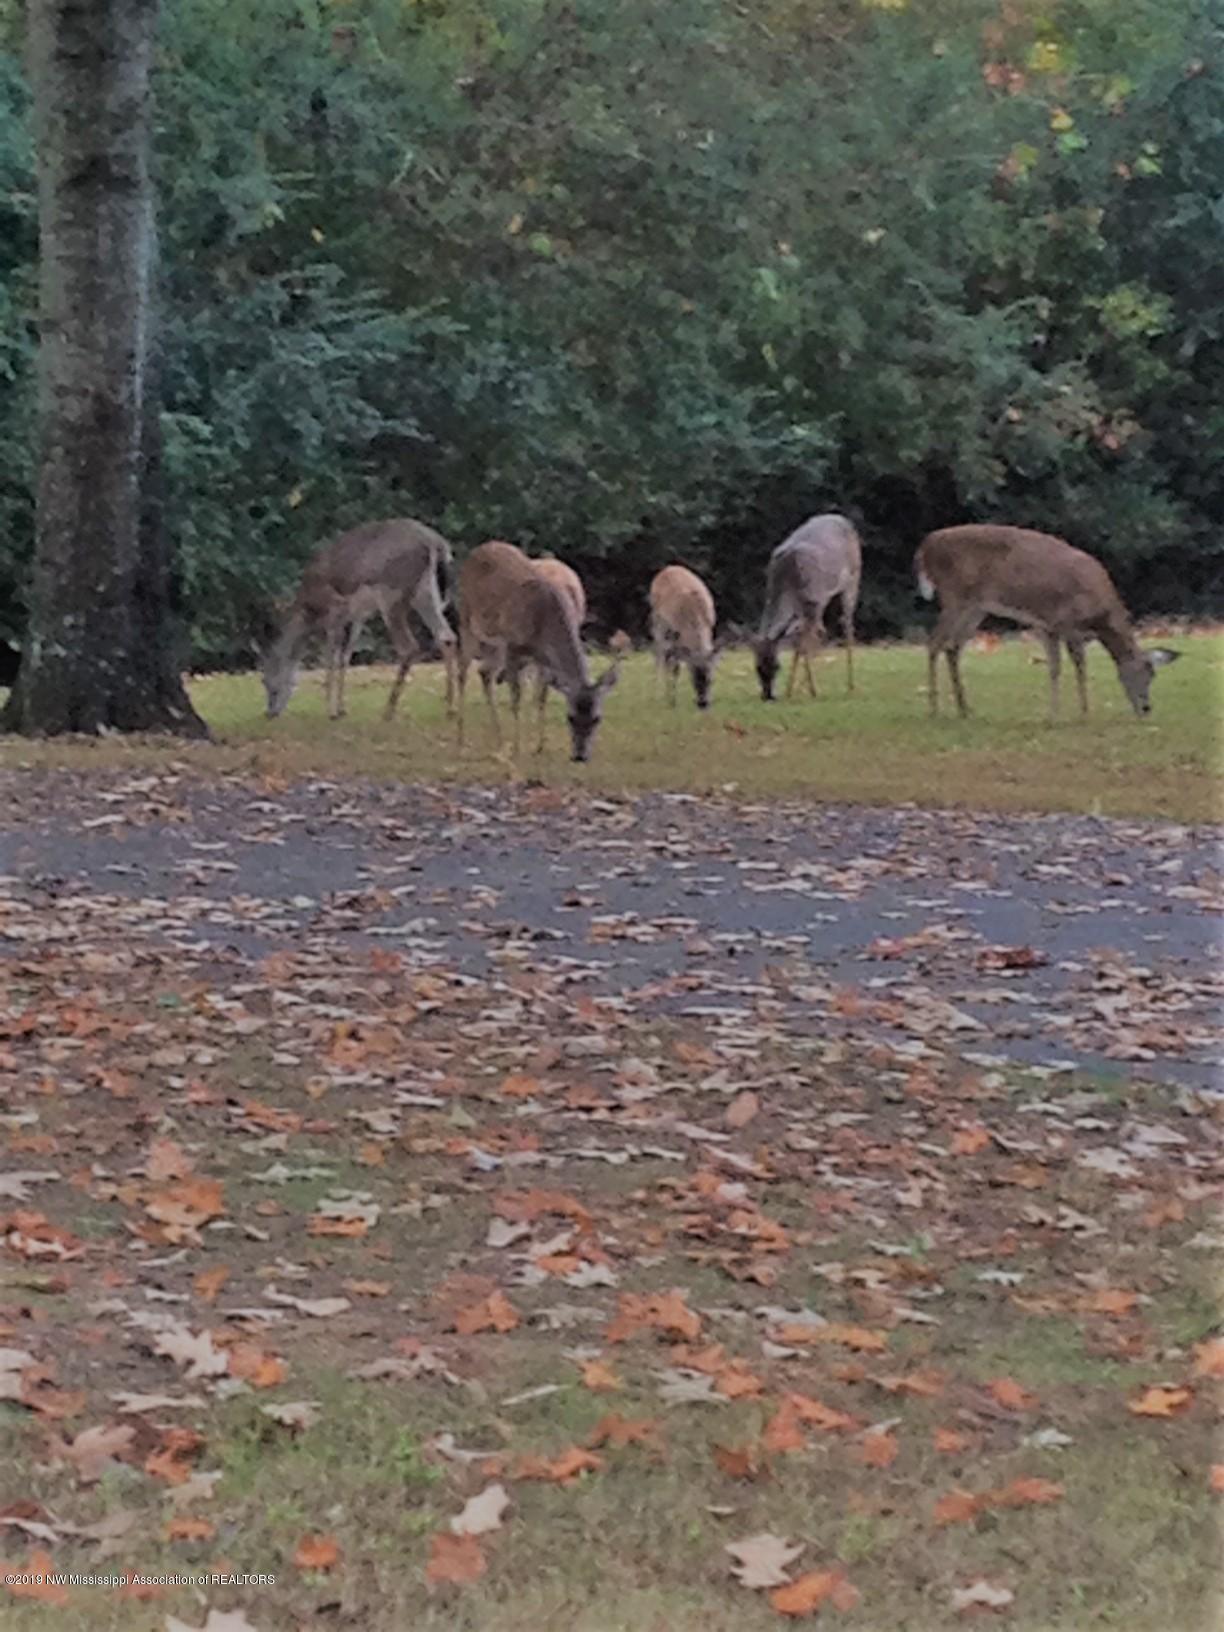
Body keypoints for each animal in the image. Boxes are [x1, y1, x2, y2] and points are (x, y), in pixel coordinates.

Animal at [261, 518, 457, 721]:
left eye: (266, 681)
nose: (270, 712)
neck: (310, 610)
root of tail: (436, 543)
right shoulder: (357, 616)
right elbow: (345, 657)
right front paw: (341, 709)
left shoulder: (335, 609)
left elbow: (331, 658)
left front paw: (331, 710)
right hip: (425, 595)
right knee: (446, 635)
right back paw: (450, 707)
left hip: (391, 593)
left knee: (409, 646)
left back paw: (388, 710)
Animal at [457, 540, 619, 762]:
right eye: (569, 717)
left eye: (597, 719)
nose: (580, 756)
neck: (544, 622)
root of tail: (480, 548)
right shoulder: (513, 646)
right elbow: (516, 698)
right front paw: (517, 748)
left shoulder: (541, 657)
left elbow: (541, 695)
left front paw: (539, 745)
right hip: (467, 618)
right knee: (463, 671)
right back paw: (462, 740)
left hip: (495, 643)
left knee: (484, 672)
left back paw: (498, 740)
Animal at [649, 564, 717, 709]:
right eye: (693, 678)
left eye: (711, 679)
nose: (703, 703)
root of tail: (668, 568)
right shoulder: (675, 634)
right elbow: (675, 668)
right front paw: (672, 701)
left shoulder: (710, 627)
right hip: (658, 622)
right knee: (660, 656)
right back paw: (657, 694)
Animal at [752, 514, 861, 702]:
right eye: (757, 668)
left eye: (777, 666)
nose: (767, 696)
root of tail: (845, 520)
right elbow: (801, 643)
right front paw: (799, 689)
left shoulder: (814, 600)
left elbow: (802, 645)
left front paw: (799, 691)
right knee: (821, 630)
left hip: (852, 579)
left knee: (846, 624)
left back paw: (850, 686)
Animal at [915, 524, 1180, 720]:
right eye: (1146, 673)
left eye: (1153, 675)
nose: (1146, 709)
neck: (1100, 617)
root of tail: (926, 545)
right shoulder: (1066, 624)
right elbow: (1076, 666)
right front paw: (1081, 712)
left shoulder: (1046, 626)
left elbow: (1057, 667)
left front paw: (1056, 714)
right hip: (954, 596)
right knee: (934, 643)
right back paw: (934, 709)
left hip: (976, 607)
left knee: (952, 647)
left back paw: (964, 709)